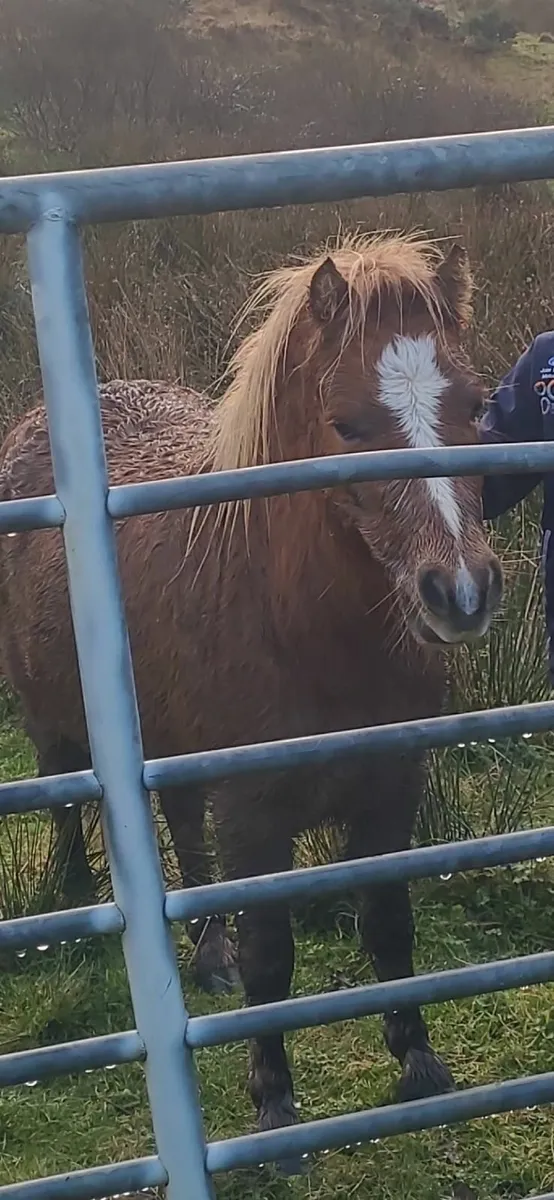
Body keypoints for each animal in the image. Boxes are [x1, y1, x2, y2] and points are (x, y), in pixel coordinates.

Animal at [0, 232, 503, 1150]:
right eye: (347, 423)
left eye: (476, 406)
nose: (461, 592)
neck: (298, 624)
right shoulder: (255, 816)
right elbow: (273, 956)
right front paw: (273, 1102)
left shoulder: (393, 789)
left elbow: (389, 925)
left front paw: (418, 1063)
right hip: (55, 723)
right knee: (65, 802)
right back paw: (80, 900)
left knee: (183, 833)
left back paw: (208, 957)